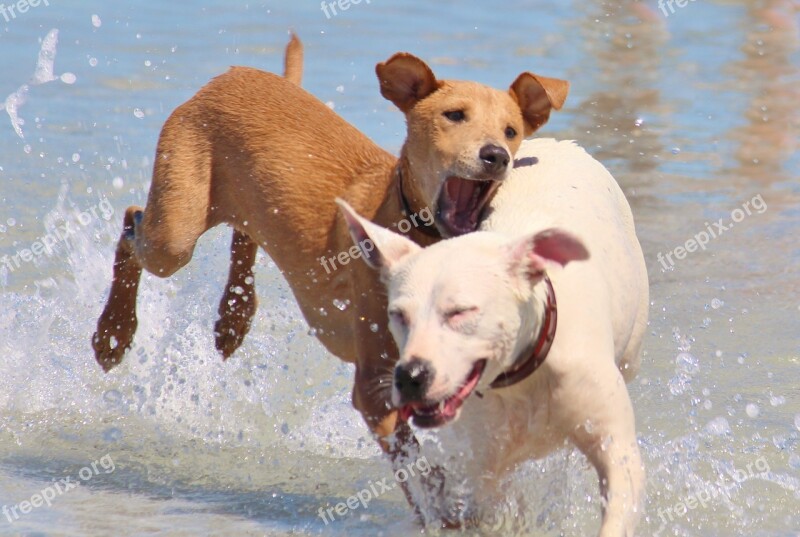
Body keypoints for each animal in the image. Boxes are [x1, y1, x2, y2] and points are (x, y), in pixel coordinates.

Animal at [92, 33, 568, 516]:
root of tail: (235, 74)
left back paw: (233, 318)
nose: (496, 155)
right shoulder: (377, 388)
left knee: (243, 235)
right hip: (175, 229)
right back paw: (113, 333)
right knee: (132, 225)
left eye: (511, 130)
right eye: (454, 115)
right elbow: (421, 473)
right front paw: (447, 514)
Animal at [338, 139, 648, 536]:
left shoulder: (618, 452)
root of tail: (557, 143)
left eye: (460, 312)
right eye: (398, 315)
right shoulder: (484, 473)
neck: (523, 373)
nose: (410, 377)